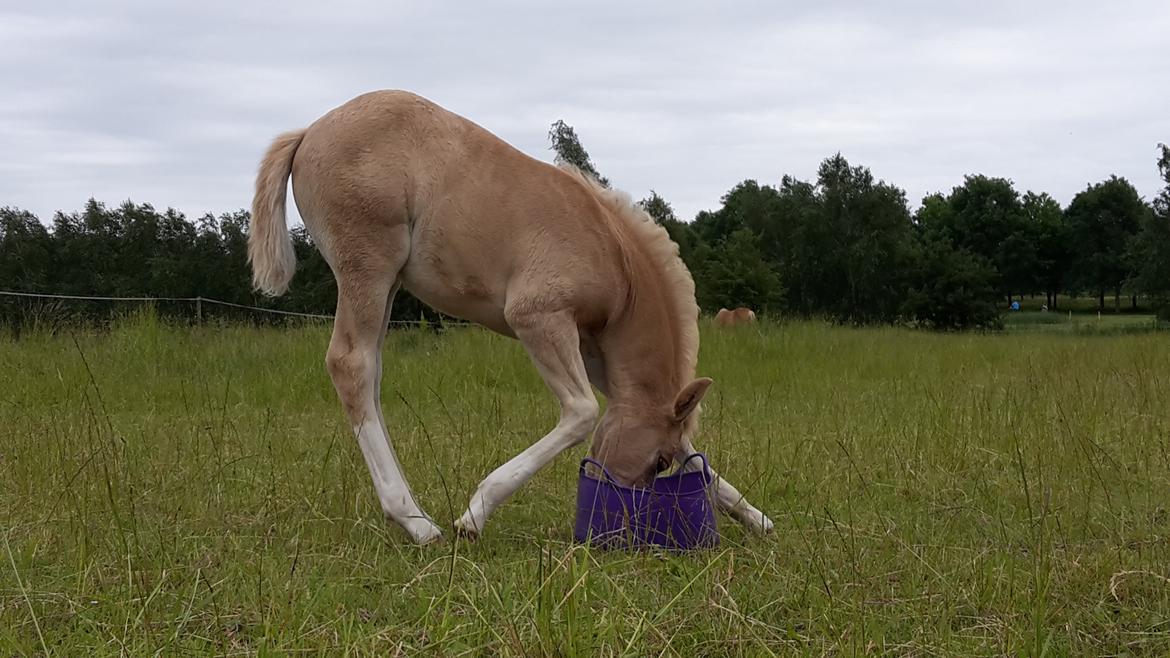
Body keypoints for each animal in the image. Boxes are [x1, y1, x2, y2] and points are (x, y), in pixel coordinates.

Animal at [251, 92, 772, 543]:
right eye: (659, 461)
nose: (624, 514)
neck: (615, 258)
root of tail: (310, 131)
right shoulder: (540, 319)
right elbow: (582, 412)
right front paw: (474, 513)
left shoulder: (592, 350)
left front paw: (758, 518)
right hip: (368, 268)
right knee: (351, 365)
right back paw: (416, 521)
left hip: (387, 283)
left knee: (371, 374)